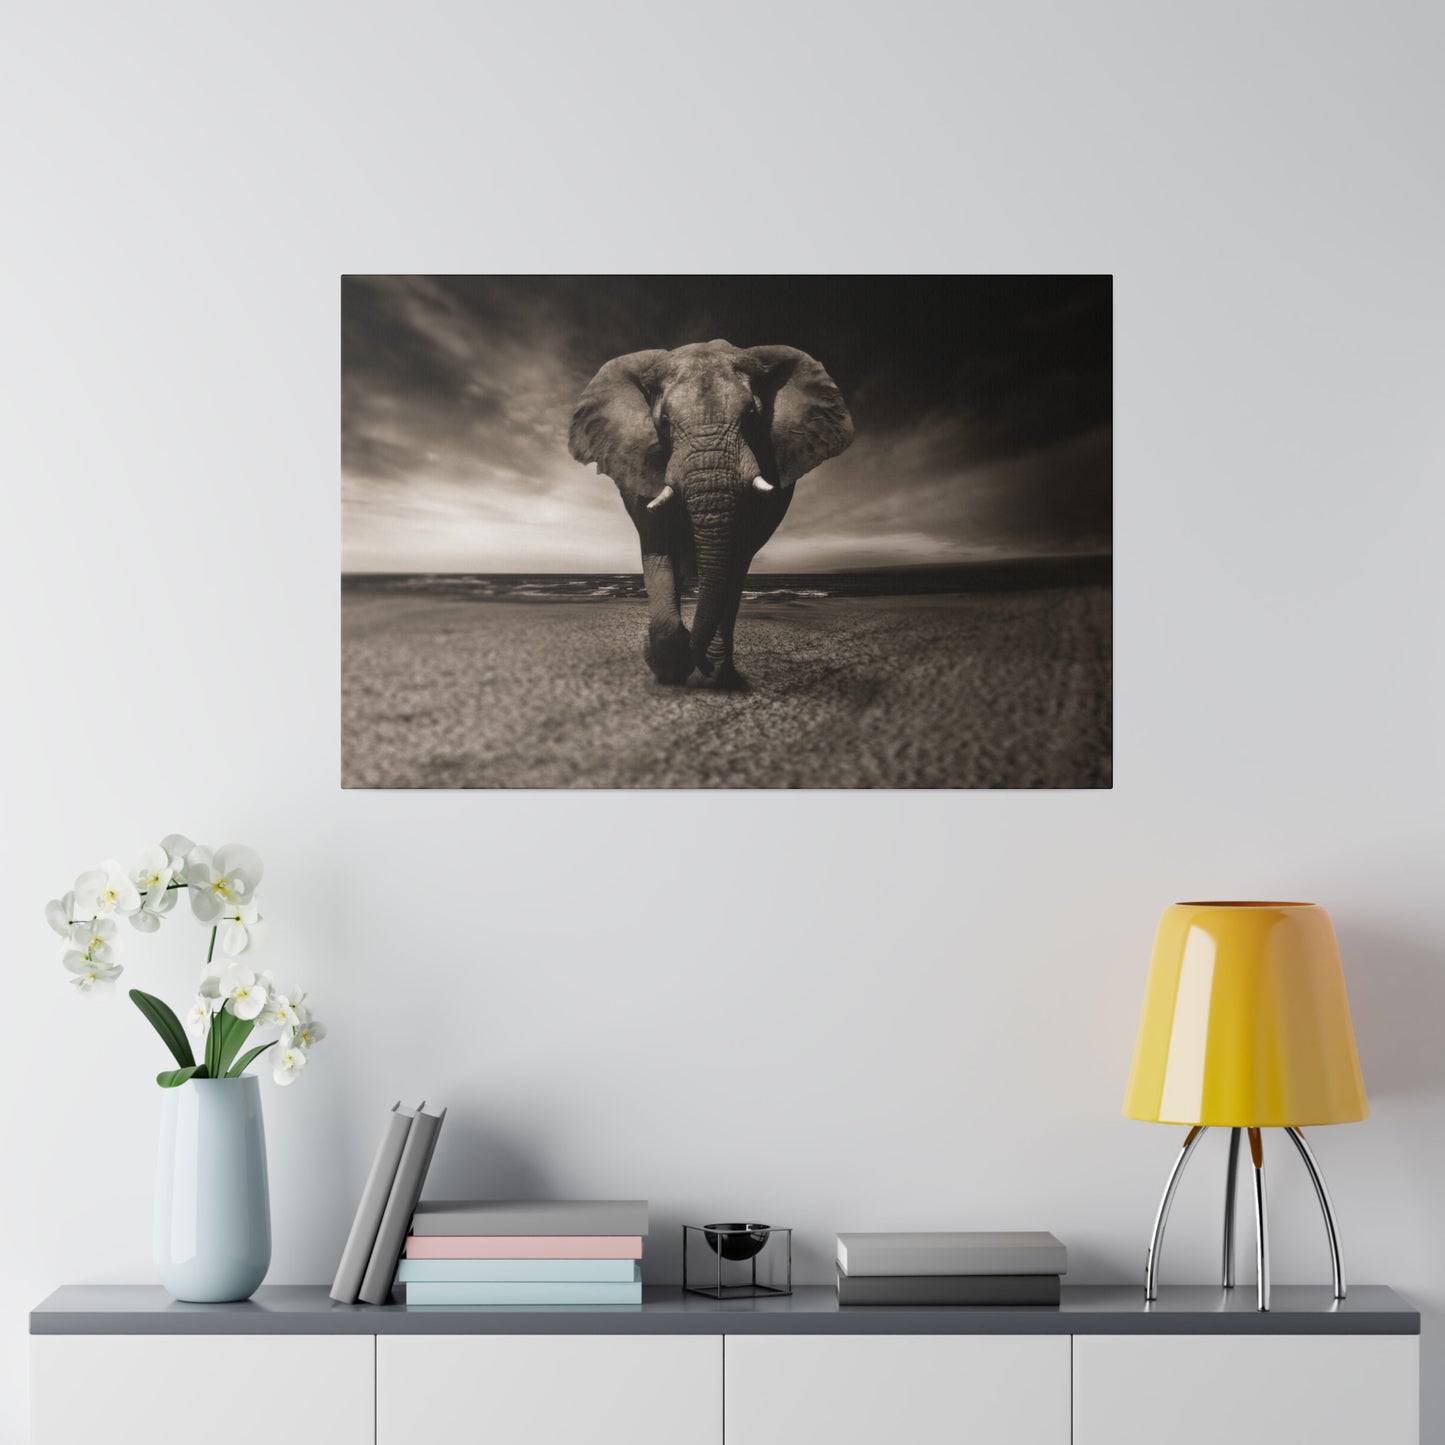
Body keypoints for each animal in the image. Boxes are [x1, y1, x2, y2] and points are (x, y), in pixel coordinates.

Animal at [569, 338, 849, 687]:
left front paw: (704, 668)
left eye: (753, 416)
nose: (698, 661)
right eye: (664, 422)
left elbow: (735, 561)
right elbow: (658, 547)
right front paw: (670, 666)